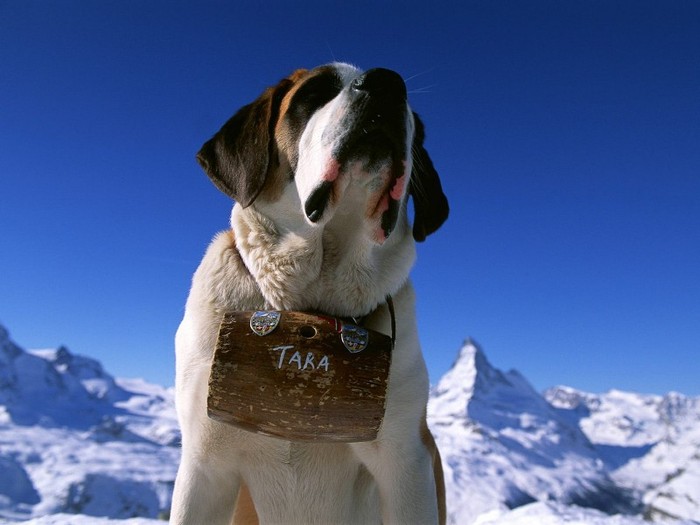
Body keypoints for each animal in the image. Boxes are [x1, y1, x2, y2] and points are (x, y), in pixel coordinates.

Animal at [170, 62, 448, 524]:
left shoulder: (407, 462)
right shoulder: (204, 464)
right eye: (315, 92)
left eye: (415, 120)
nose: (387, 83)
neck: (310, 303)